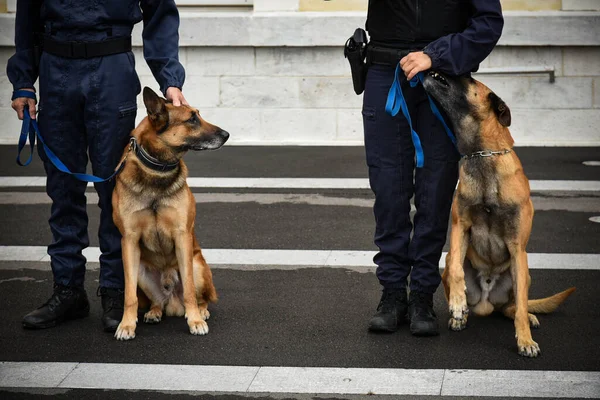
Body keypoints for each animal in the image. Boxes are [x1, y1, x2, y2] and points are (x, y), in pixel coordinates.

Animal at [111, 86, 229, 340]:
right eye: (192, 119)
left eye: (198, 115)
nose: (226, 134)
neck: (157, 170)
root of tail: (172, 300)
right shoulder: (129, 241)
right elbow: (129, 295)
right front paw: (126, 324)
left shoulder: (182, 236)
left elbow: (190, 292)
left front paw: (195, 321)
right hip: (141, 272)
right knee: (157, 301)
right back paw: (154, 312)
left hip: (197, 265)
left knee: (199, 297)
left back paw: (201, 312)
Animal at [420, 71, 576, 356]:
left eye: (467, 77)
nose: (435, 65)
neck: (483, 155)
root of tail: (487, 301)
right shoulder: (460, 227)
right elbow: (457, 269)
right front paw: (457, 304)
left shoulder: (517, 247)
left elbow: (522, 307)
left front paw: (525, 340)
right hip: (450, 262)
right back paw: (461, 315)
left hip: (523, 271)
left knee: (514, 307)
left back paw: (528, 318)